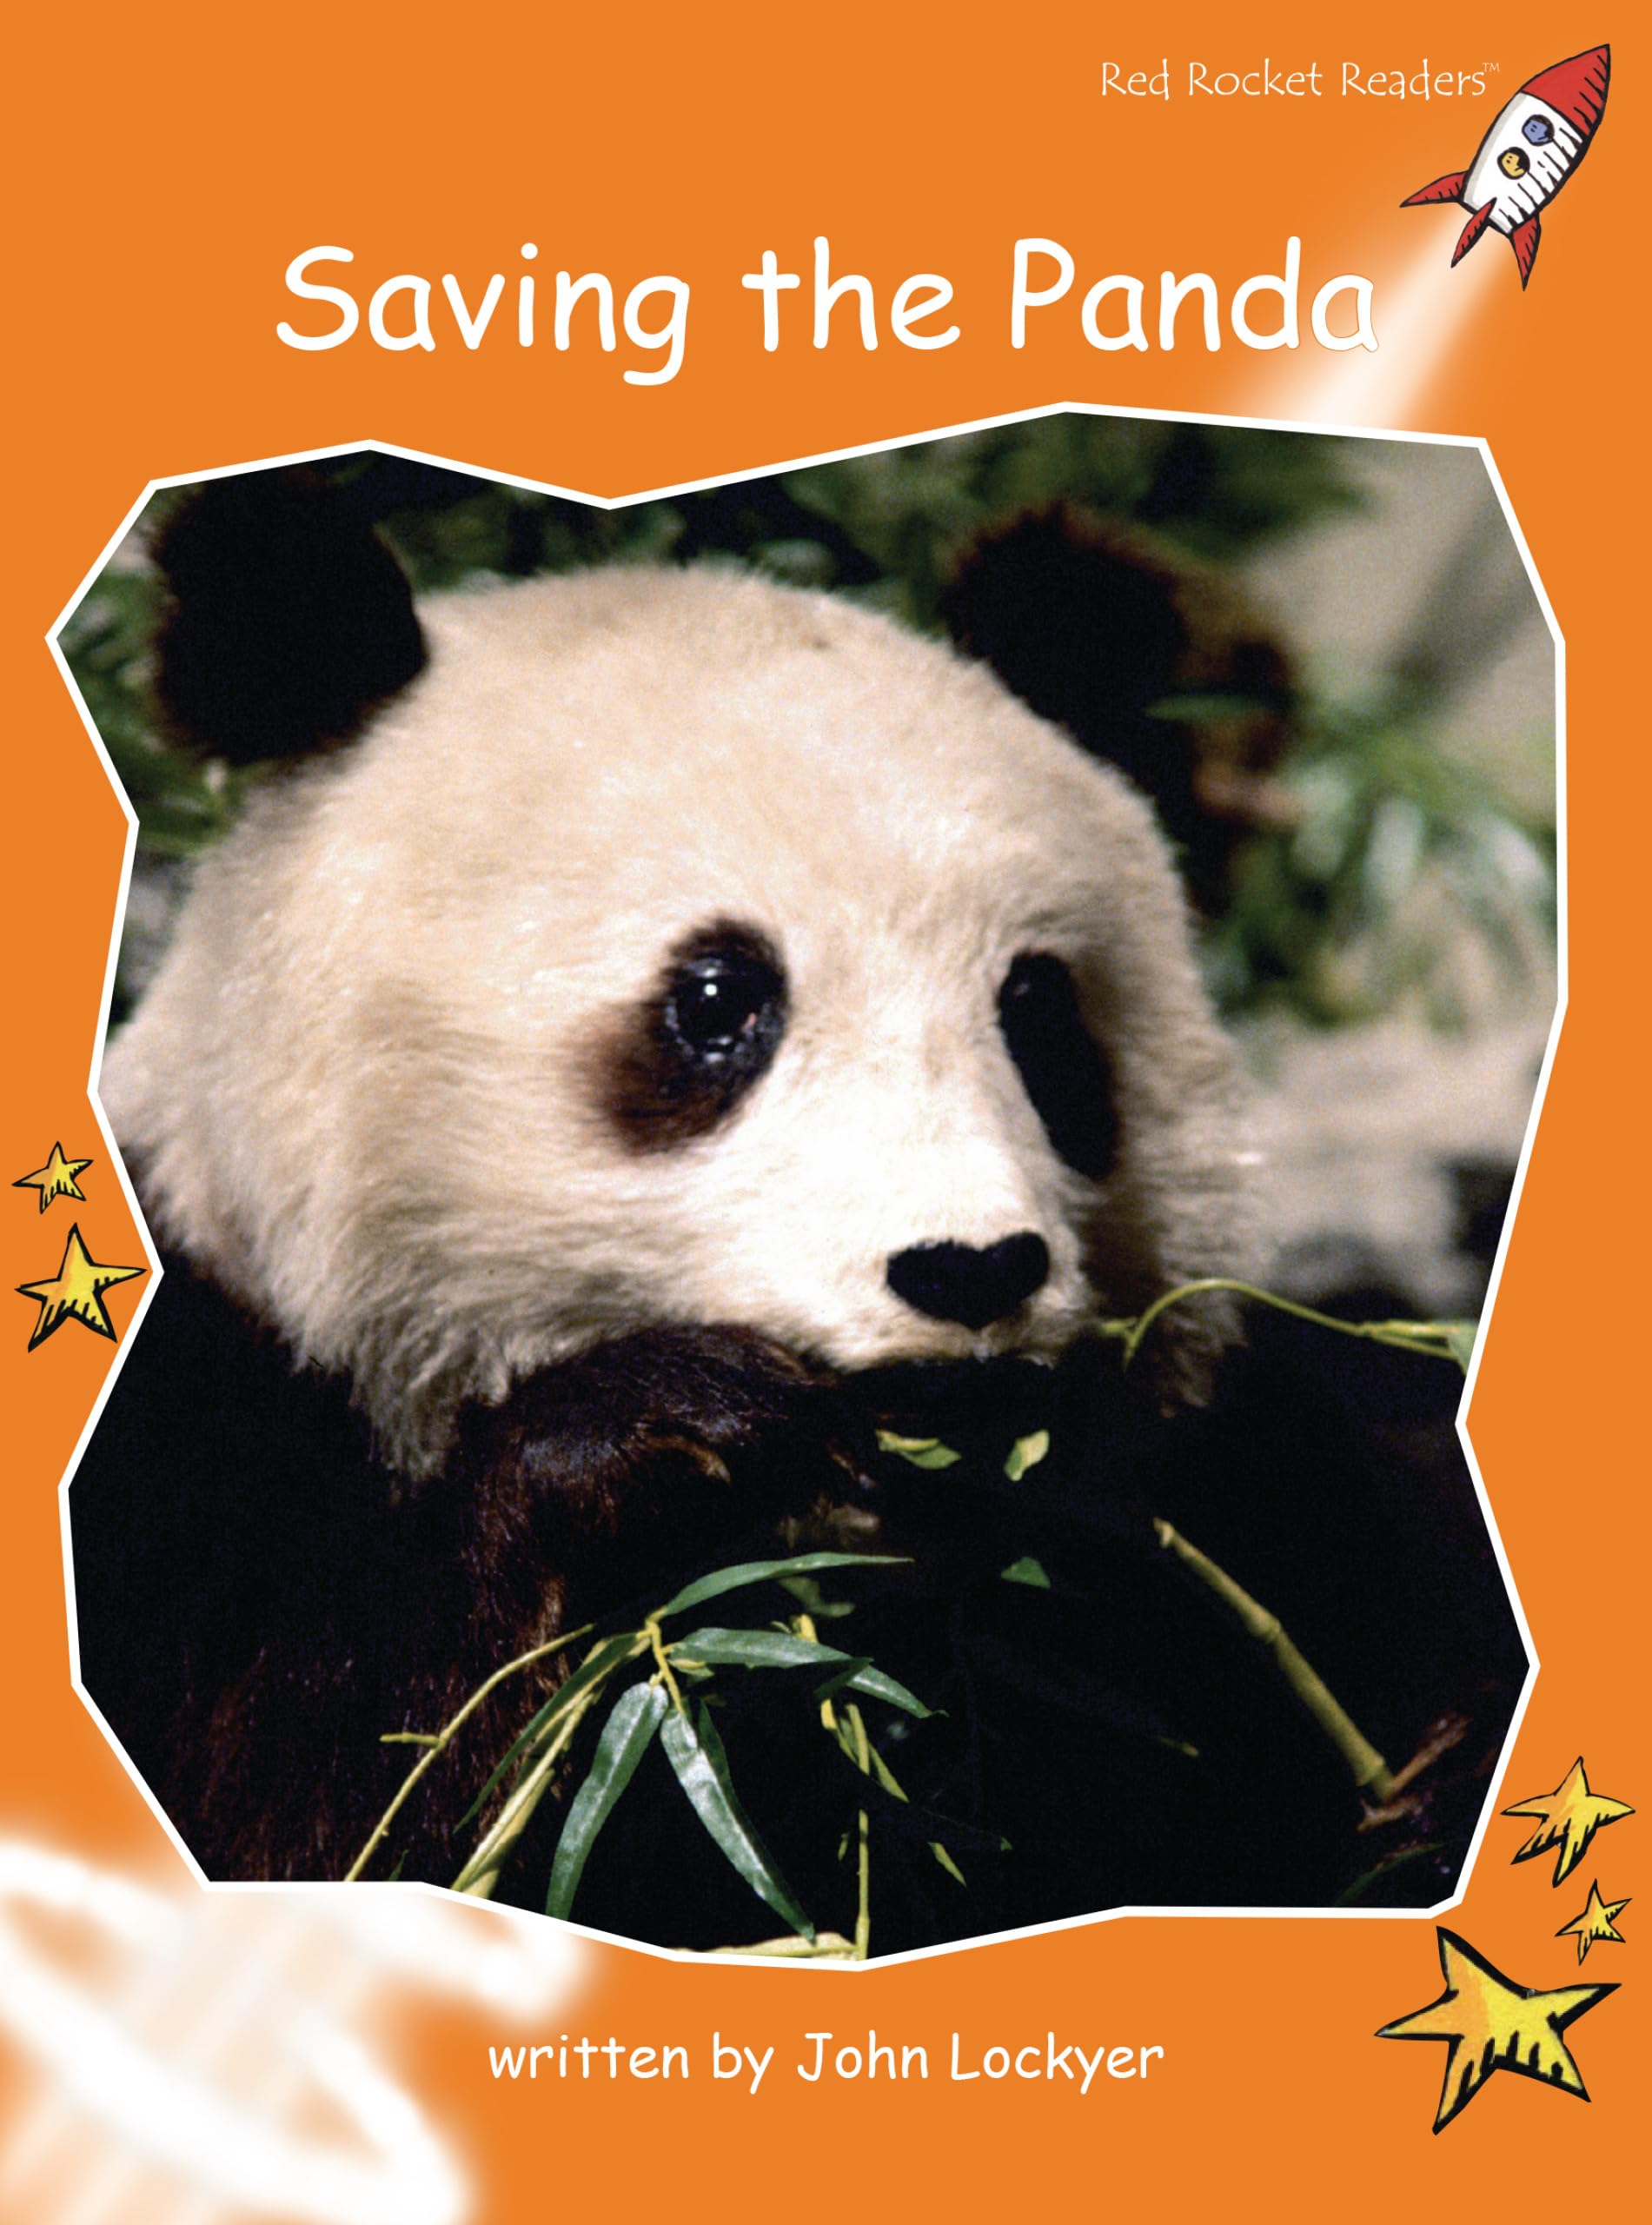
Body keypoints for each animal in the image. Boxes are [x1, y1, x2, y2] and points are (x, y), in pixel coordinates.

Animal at [71, 467, 1521, 1946]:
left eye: (1036, 1008)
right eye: (717, 1000)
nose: (968, 1271)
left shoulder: (1233, 1503)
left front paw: (1442, 1795)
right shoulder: (187, 1422)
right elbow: (318, 1810)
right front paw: (655, 1430)